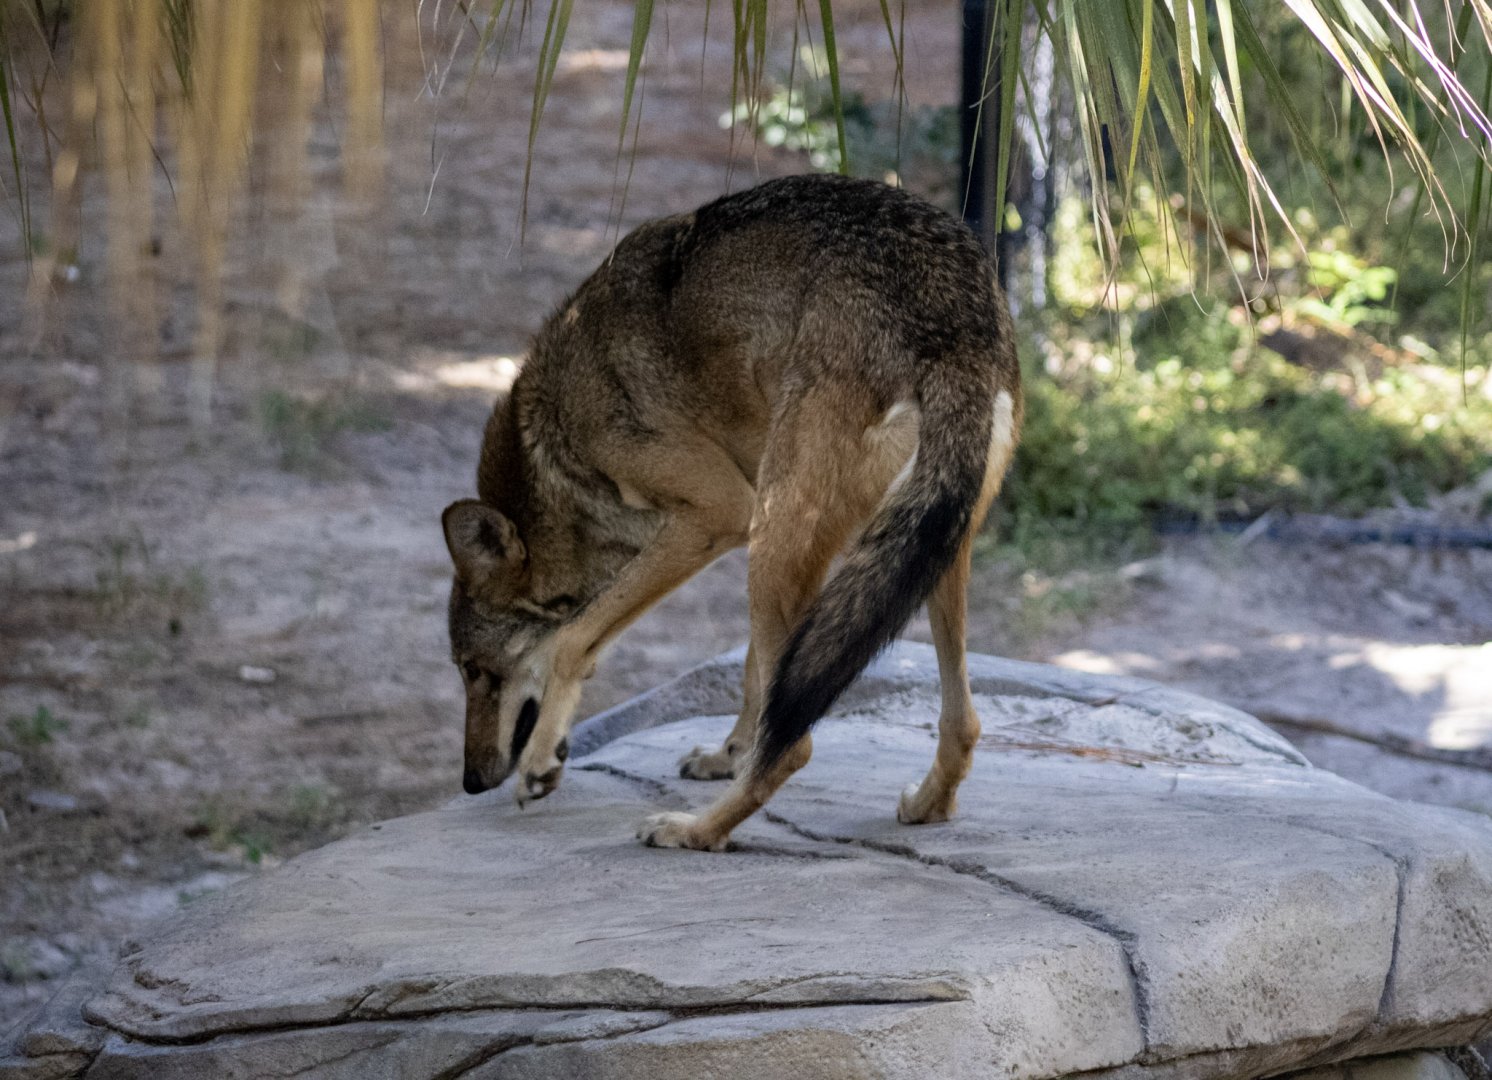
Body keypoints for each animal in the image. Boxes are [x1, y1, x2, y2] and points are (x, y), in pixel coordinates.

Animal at [442, 173, 1021, 851]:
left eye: (477, 672)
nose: (470, 783)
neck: (550, 447)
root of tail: (955, 327)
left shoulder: (716, 515)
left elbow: (571, 640)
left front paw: (540, 763)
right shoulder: (755, 538)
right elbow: (754, 676)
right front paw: (729, 752)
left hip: (778, 536)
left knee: (797, 747)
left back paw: (693, 831)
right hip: (919, 551)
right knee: (962, 722)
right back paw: (929, 804)